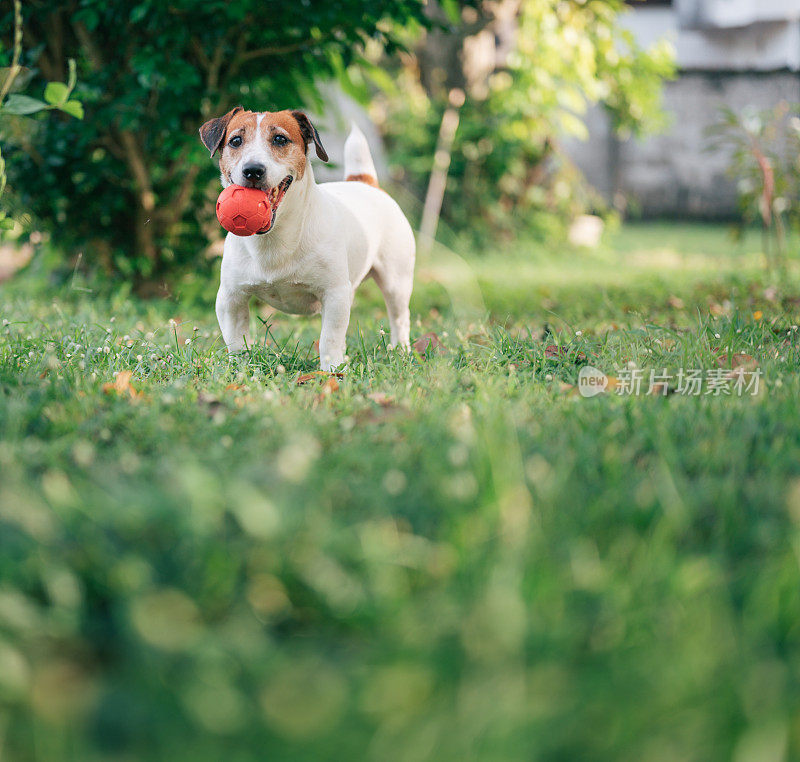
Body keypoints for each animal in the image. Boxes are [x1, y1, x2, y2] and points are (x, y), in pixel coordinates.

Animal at [199, 106, 416, 368]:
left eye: (280, 139)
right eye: (235, 141)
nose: (253, 170)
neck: (275, 238)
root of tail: (366, 183)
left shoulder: (334, 294)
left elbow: (329, 339)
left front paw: (331, 370)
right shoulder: (231, 298)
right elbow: (236, 340)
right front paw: (240, 367)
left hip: (396, 282)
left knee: (400, 318)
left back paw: (400, 351)